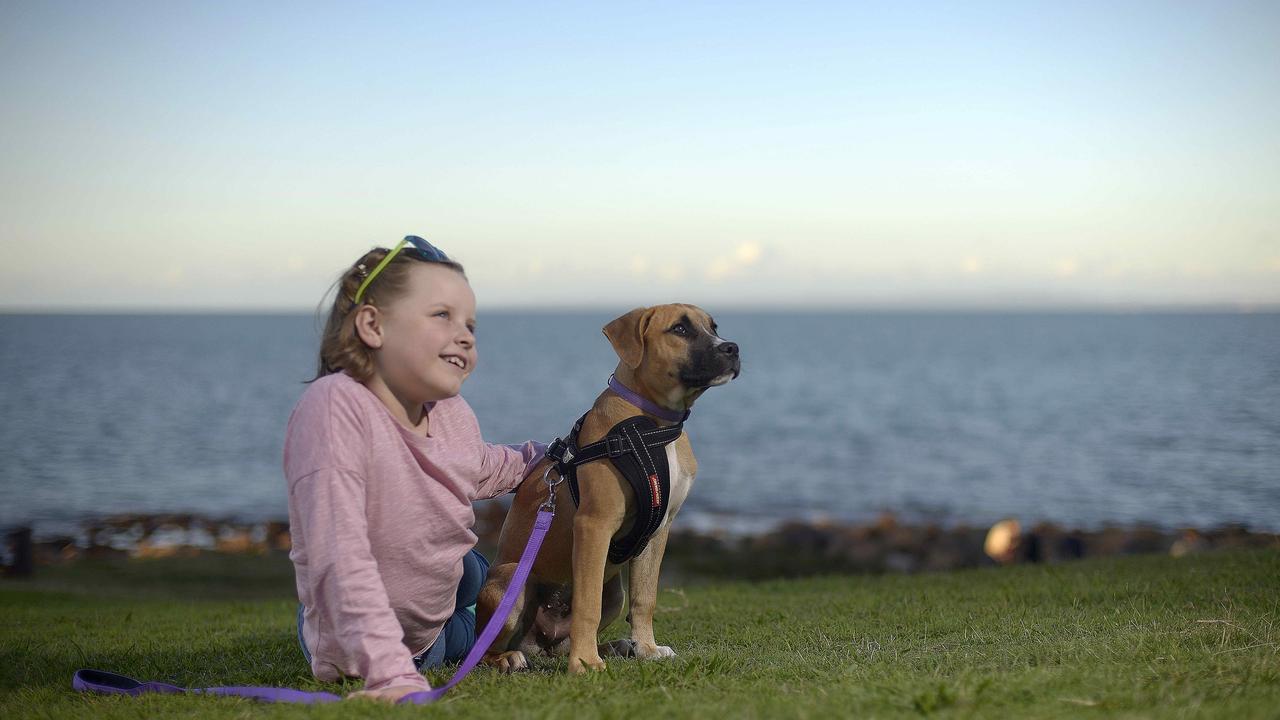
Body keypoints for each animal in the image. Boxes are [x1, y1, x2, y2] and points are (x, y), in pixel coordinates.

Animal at [478, 302, 742, 671]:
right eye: (680, 329)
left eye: (714, 327)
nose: (732, 348)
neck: (653, 425)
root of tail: (539, 642)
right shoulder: (595, 524)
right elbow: (587, 604)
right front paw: (585, 663)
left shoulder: (659, 530)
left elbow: (645, 597)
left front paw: (647, 648)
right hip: (514, 579)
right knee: (483, 645)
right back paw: (508, 658)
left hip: (614, 592)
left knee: (565, 640)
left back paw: (617, 646)